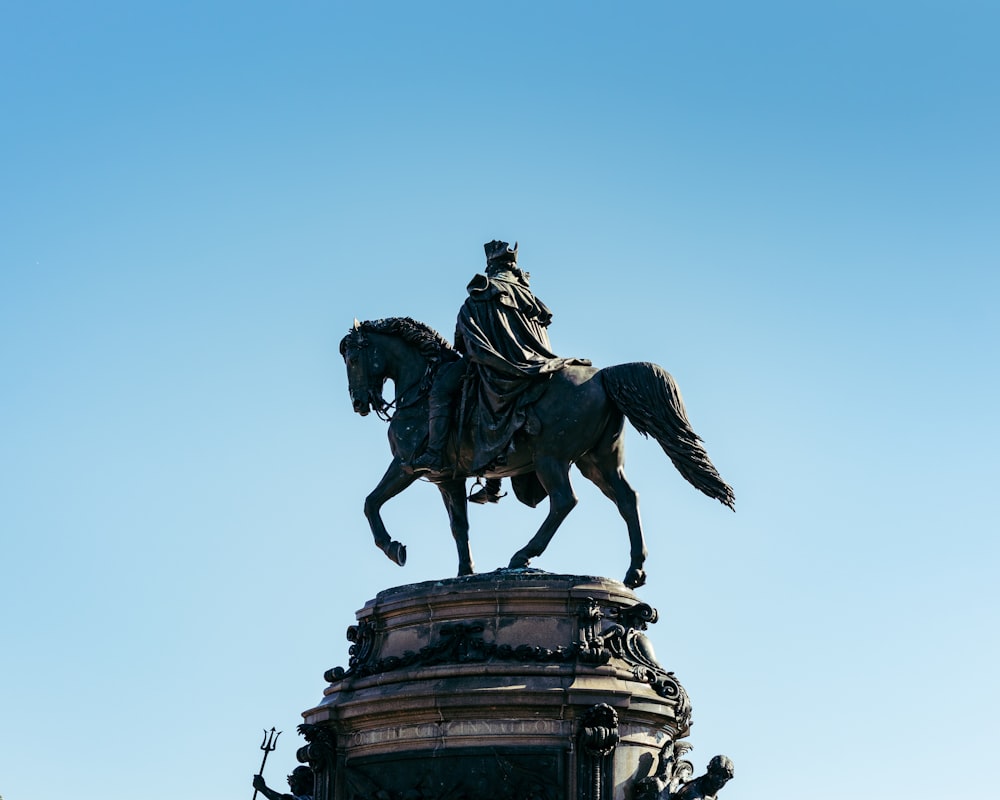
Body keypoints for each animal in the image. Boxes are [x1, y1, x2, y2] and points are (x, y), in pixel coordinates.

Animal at [340, 318, 732, 588]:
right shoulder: (448, 479)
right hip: (598, 461)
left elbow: (370, 502)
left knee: (564, 501)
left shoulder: (408, 465)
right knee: (626, 499)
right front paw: (465, 573)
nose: (359, 403)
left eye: (353, 358)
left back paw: (522, 555)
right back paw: (635, 569)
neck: (421, 386)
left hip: (550, 459)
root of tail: (602, 375)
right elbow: (459, 526)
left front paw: (393, 547)